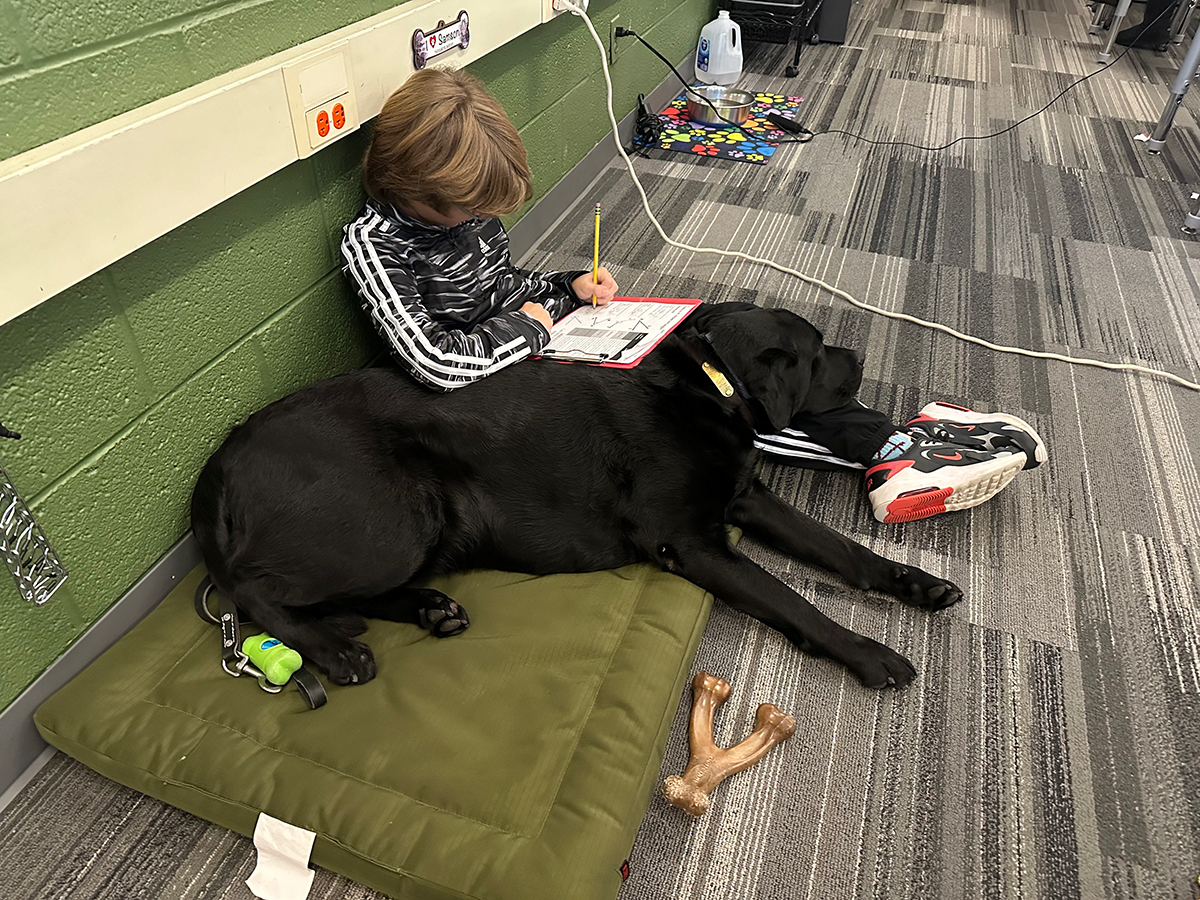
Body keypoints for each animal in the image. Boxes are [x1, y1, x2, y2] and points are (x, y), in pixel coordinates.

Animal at [192, 303, 960, 691]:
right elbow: (795, 601)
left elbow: (843, 549)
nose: (860, 358)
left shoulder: (748, 499)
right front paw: (869, 653)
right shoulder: (691, 541)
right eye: (818, 351)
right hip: (393, 517)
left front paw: (912, 583)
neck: (705, 384)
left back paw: (429, 609)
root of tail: (224, 455)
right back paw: (333, 652)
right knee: (252, 589)